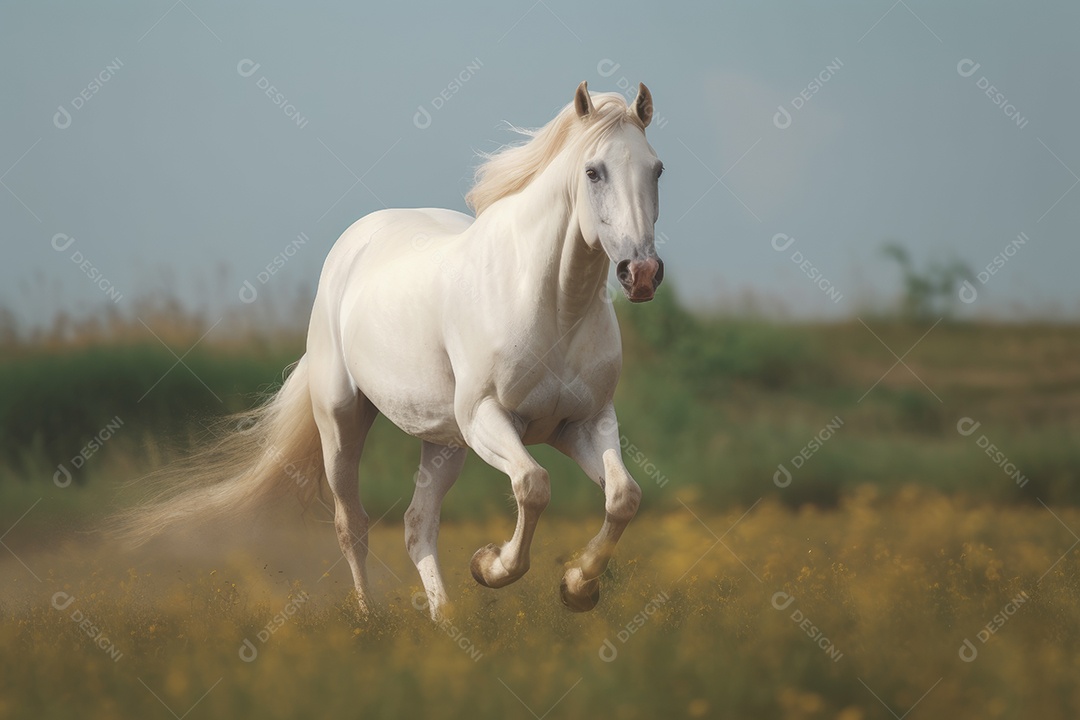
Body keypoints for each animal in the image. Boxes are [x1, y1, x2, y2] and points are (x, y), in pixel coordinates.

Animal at [118, 81, 665, 620]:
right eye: (593, 171)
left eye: (656, 168)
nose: (640, 274)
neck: (554, 307)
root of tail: (352, 246)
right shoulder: (487, 417)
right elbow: (533, 485)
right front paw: (489, 566)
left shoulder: (583, 423)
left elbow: (623, 497)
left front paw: (577, 587)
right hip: (343, 423)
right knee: (352, 524)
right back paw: (369, 621)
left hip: (445, 442)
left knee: (416, 523)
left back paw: (445, 620)